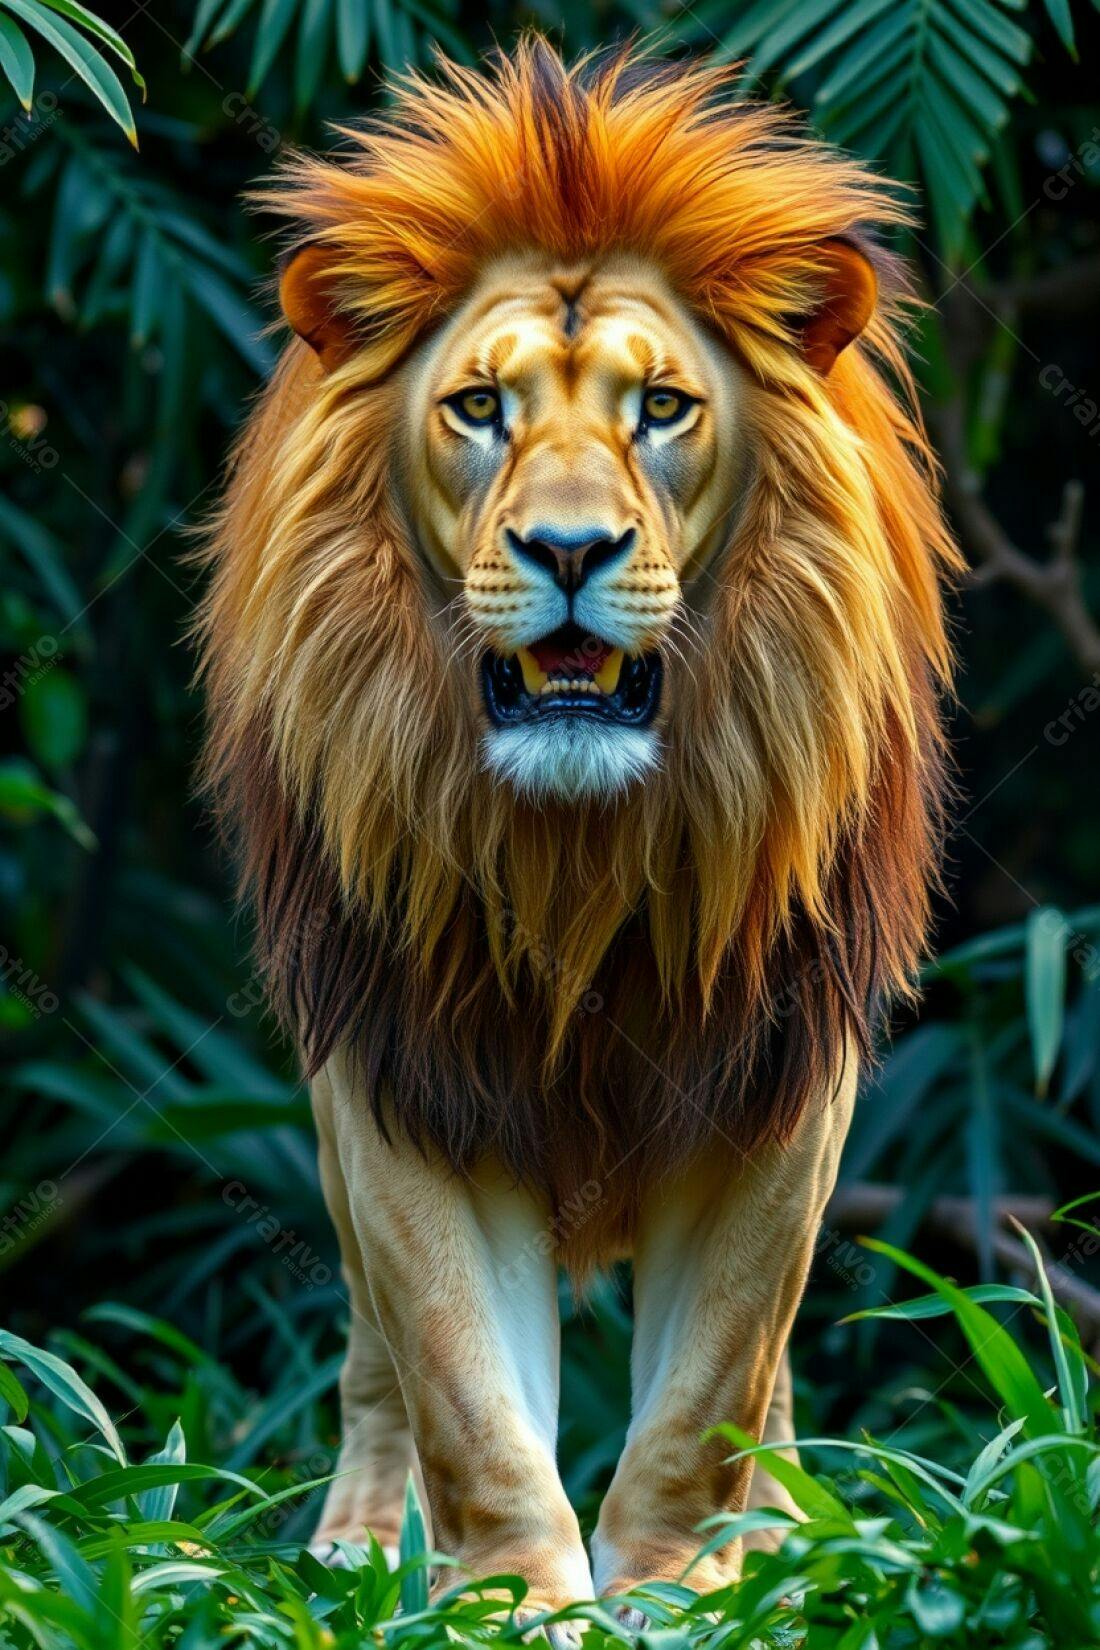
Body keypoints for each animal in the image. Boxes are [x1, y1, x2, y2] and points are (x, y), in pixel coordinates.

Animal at [197, 37, 958, 1636]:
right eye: (477, 409)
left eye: (661, 408)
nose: (564, 550)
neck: (581, 853)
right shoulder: (400, 1066)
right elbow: (465, 1397)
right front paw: (508, 1605)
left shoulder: (778, 1075)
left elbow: (707, 1392)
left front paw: (683, 1593)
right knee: (371, 1367)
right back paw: (357, 1546)